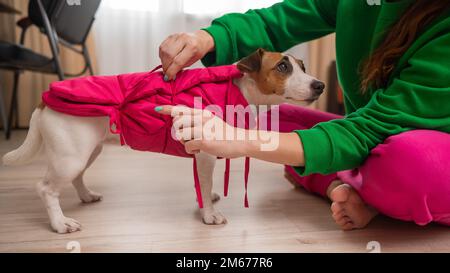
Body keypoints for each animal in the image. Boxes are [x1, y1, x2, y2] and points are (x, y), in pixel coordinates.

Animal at [0, 48, 324, 232]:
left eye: (303, 66)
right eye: (283, 67)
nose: (320, 85)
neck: (240, 90)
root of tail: (44, 100)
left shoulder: (200, 152)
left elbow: (201, 184)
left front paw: (206, 201)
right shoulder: (205, 155)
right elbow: (204, 182)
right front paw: (209, 215)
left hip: (86, 151)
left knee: (77, 177)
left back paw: (86, 195)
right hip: (71, 156)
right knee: (46, 189)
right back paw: (59, 223)